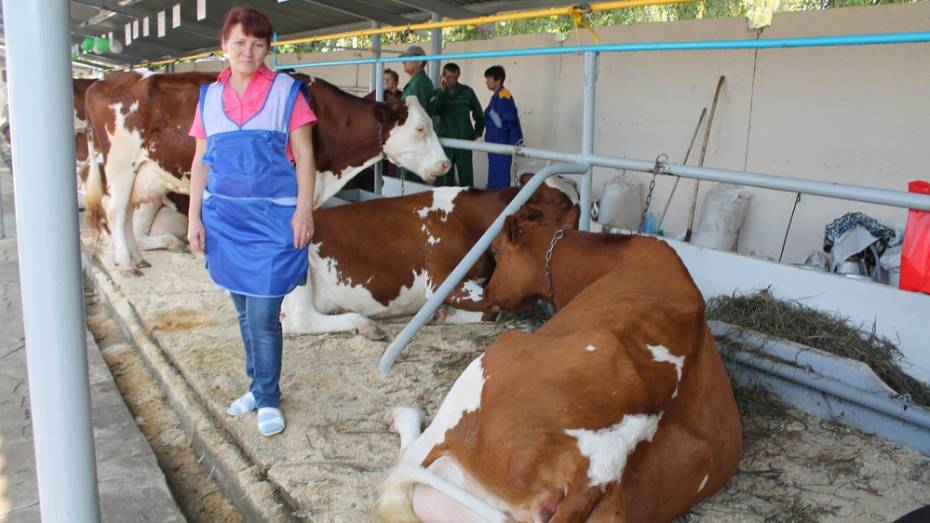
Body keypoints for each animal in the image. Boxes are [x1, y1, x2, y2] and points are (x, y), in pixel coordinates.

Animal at [85, 72, 448, 276]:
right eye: (420, 128)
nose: (445, 164)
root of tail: (105, 82)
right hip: (120, 165)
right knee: (116, 211)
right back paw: (126, 264)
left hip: (141, 171)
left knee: (127, 215)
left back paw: (136, 258)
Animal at [280, 177, 576, 340]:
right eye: (559, 202)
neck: (471, 219)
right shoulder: (441, 279)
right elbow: (493, 309)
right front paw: (442, 313)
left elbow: (493, 310)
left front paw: (441, 313)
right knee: (298, 319)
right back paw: (364, 324)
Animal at [374, 214, 744, 523]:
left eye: (496, 251)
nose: (488, 291)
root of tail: (597, 474)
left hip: (483, 372)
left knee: (405, 467)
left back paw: (400, 415)